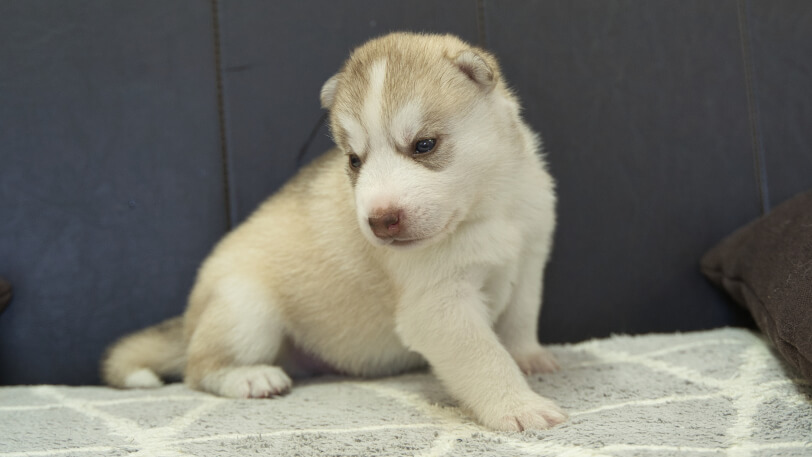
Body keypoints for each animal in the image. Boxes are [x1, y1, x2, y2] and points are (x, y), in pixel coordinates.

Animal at [103, 33, 564, 432]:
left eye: (424, 144)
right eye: (354, 160)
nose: (380, 220)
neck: (489, 209)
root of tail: (187, 323)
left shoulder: (529, 262)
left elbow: (520, 319)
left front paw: (529, 358)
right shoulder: (440, 304)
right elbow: (485, 356)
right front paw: (517, 406)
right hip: (247, 309)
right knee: (198, 370)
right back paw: (249, 379)